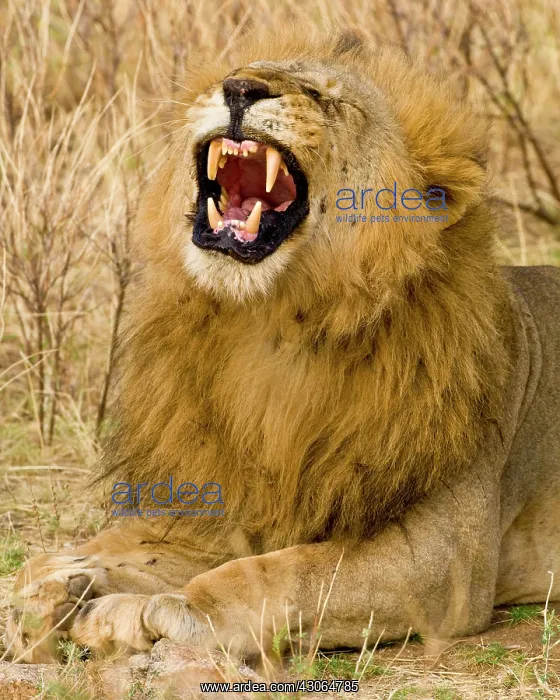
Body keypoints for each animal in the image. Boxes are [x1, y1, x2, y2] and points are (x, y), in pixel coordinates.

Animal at [5, 31, 560, 665]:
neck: (267, 321)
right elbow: (89, 555)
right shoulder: (222, 504)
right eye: (231, 73)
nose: (239, 89)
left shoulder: (449, 557)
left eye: (327, 98)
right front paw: (56, 587)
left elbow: (284, 572)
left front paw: (155, 612)